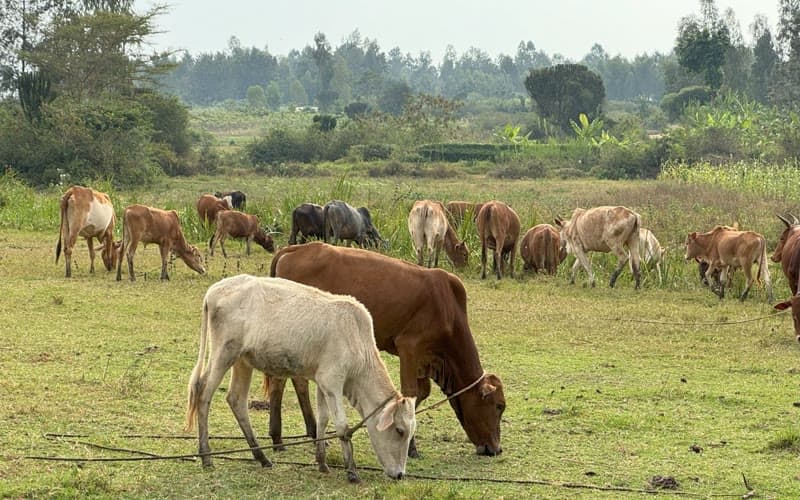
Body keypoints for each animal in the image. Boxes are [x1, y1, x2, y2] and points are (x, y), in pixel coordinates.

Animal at [185, 275, 416, 482]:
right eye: (400, 430)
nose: (400, 474)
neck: (357, 341)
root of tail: (215, 289)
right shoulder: (332, 381)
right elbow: (342, 426)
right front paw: (351, 471)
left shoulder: (323, 382)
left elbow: (323, 419)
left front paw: (322, 462)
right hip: (224, 352)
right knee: (203, 393)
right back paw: (206, 456)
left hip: (242, 360)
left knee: (236, 400)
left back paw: (261, 457)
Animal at [269, 242, 505, 458]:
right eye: (498, 406)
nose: (496, 449)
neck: (447, 307)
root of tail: (295, 248)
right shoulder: (409, 347)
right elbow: (411, 393)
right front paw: (411, 447)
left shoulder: (423, 359)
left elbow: (422, 392)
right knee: (283, 381)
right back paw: (280, 438)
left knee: (293, 381)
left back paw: (303, 434)